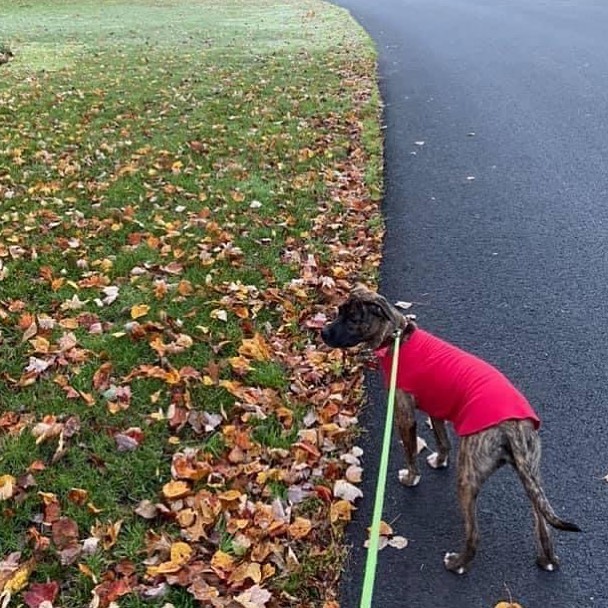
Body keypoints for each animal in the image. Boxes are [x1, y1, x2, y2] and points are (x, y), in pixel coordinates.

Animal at [320, 284, 580, 576]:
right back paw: (547, 560)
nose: (323, 333)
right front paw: (439, 461)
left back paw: (457, 563)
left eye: (353, 318)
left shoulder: (404, 416)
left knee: (474, 534)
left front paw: (411, 478)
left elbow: (411, 453)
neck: (398, 338)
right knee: (542, 520)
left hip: (468, 475)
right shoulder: (436, 411)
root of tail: (514, 426)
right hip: (531, 473)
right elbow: (442, 440)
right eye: (340, 311)